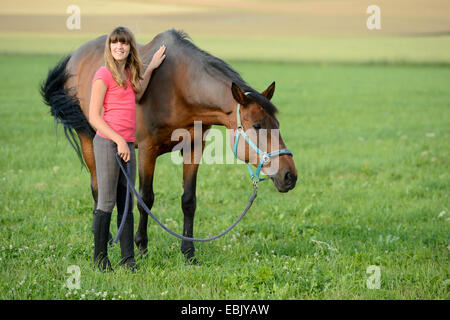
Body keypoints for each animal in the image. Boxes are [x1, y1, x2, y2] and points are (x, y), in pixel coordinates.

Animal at [41, 28, 296, 264]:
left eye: (277, 124)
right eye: (257, 125)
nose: (289, 175)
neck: (178, 87)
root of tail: (75, 58)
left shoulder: (194, 148)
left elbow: (189, 200)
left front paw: (189, 253)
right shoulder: (147, 151)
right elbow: (145, 199)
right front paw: (142, 248)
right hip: (88, 139)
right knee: (98, 189)